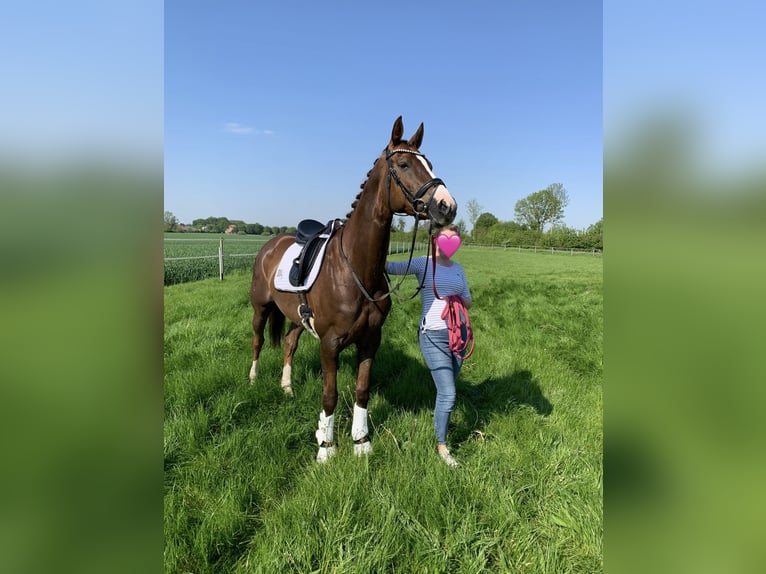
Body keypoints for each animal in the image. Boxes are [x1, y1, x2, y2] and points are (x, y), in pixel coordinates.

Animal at [250, 117, 456, 464]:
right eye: (404, 164)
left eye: (430, 164)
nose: (447, 206)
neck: (355, 269)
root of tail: (270, 245)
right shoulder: (330, 343)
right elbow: (330, 394)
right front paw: (326, 448)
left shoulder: (371, 339)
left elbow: (362, 390)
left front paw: (361, 442)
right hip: (261, 309)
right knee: (258, 340)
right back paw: (252, 379)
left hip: (296, 317)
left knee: (290, 343)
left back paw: (287, 388)